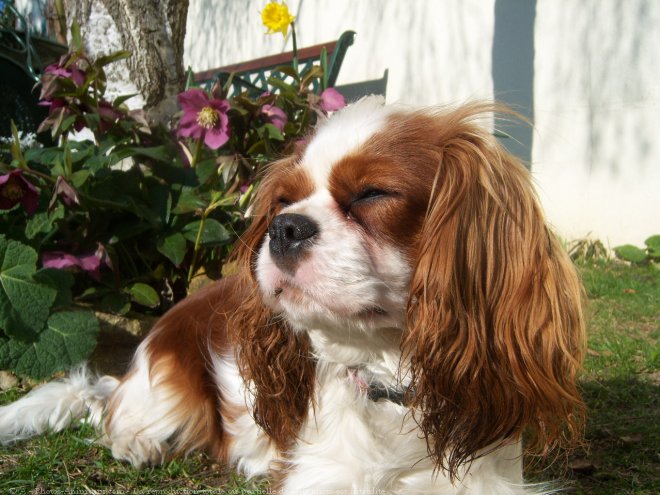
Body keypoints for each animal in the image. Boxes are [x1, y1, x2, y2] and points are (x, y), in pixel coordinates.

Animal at [1, 98, 588, 495]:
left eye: (373, 194)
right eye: (284, 200)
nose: (284, 228)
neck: (391, 382)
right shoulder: (320, 478)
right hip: (165, 385)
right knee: (113, 412)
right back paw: (135, 442)